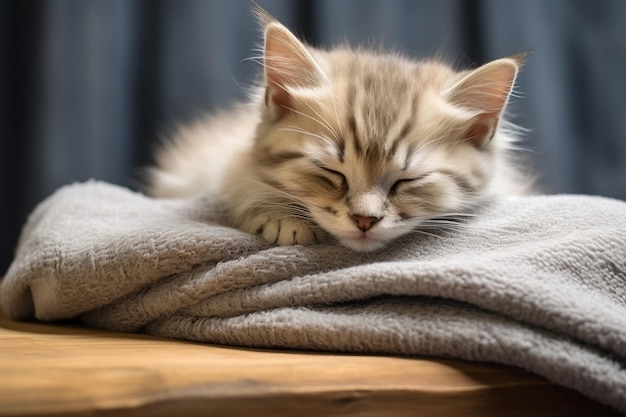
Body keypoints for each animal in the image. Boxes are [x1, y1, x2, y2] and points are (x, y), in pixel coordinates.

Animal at [145, 10, 528, 250]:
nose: (364, 221)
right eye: (332, 173)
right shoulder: (217, 163)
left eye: (407, 181)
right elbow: (243, 185)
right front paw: (282, 217)